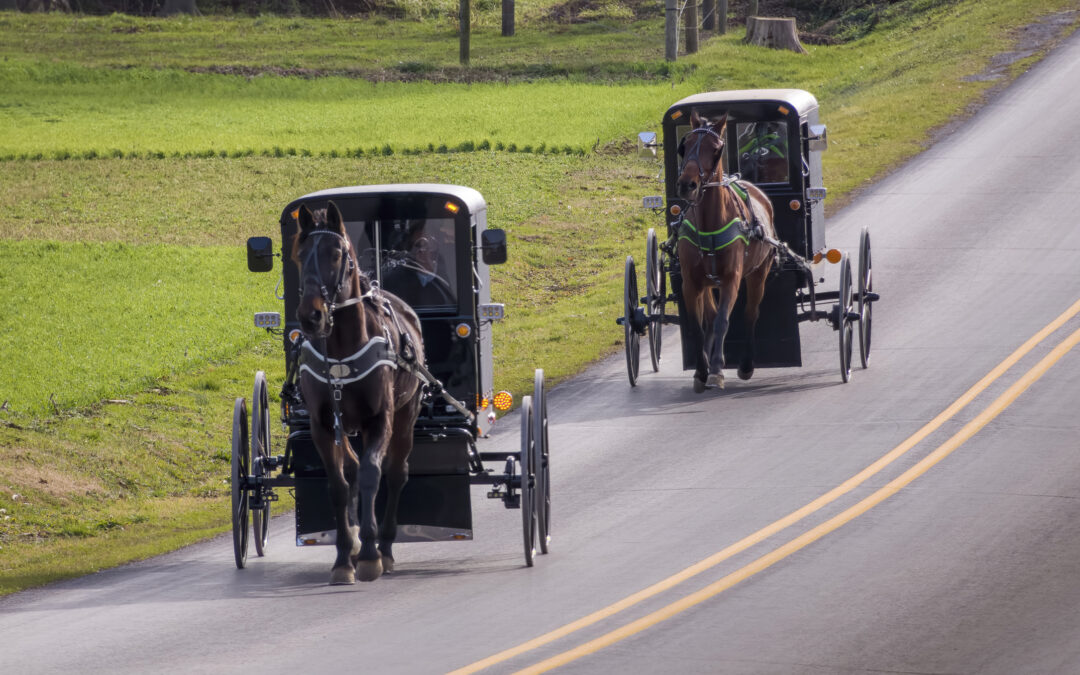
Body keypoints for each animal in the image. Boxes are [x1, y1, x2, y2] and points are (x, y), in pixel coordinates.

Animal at [291, 200, 425, 583]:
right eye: (300, 254)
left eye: (336, 254)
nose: (311, 316)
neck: (340, 350)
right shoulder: (323, 425)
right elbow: (338, 484)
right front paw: (343, 558)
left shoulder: (380, 419)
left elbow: (371, 475)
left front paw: (369, 554)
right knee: (351, 470)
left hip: (407, 414)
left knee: (396, 473)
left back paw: (386, 547)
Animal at [673, 110, 777, 388]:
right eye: (685, 145)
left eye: (716, 149)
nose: (687, 184)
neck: (709, 225)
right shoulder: (691, 282)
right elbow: (698, 325)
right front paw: (701, 370)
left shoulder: (732, 278)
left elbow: (723, 321)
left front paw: (718, 369)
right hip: (709, 283)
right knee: (709, 316)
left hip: (758, 273)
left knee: (751, 313)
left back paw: (746, 364)